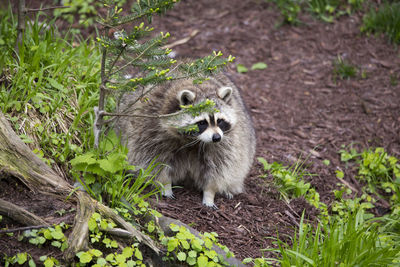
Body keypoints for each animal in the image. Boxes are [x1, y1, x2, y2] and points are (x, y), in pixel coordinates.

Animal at [117, 73, 256, 209]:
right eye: (202, 123)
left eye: (220, 121)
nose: (216, 137)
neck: (193, 140)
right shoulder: (150, 127)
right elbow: (155, 161)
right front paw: (165, 184)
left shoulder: (227, 142)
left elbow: (220, 167)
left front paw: (210, 192)